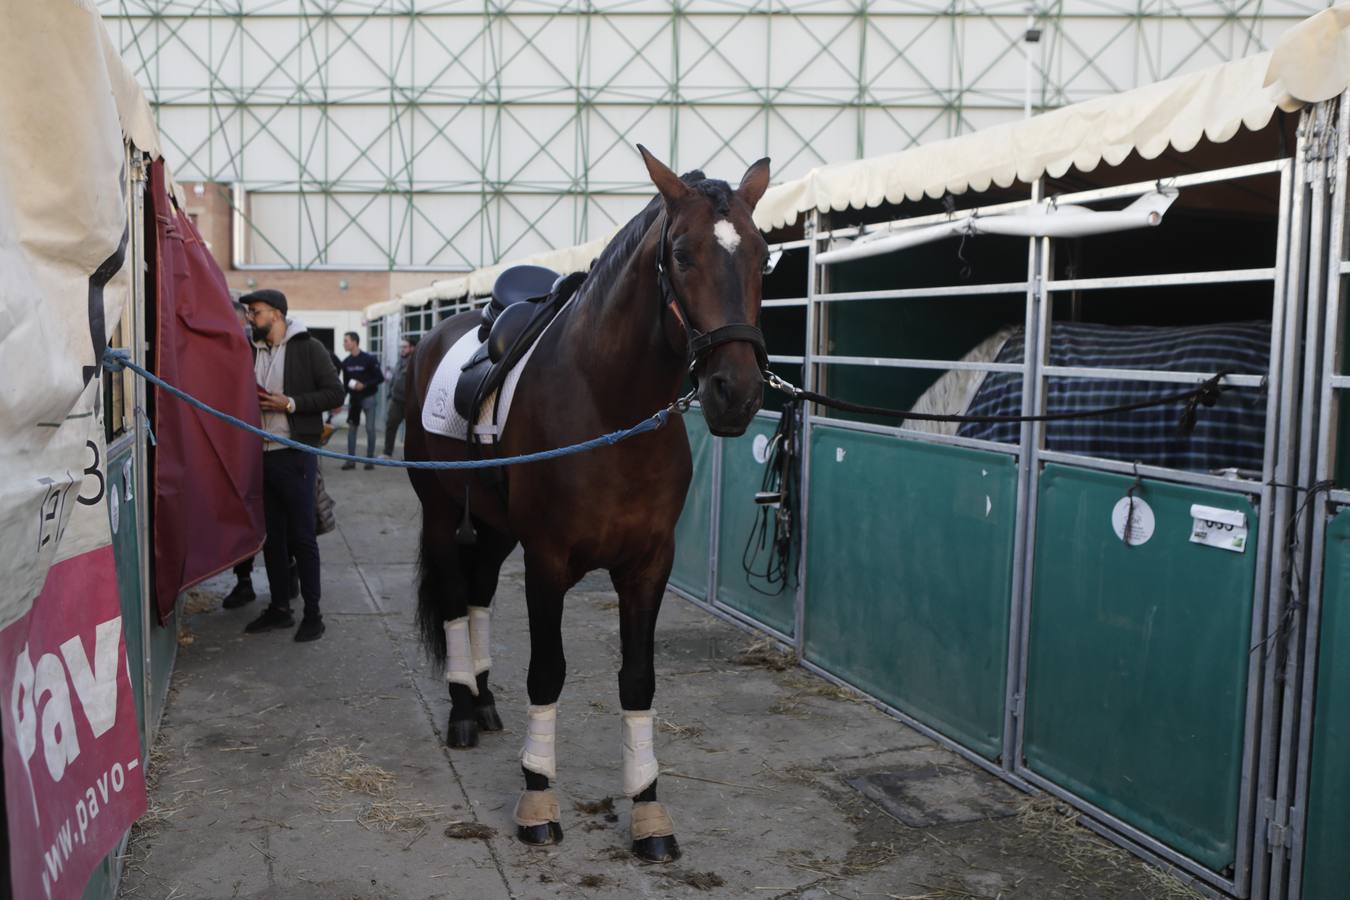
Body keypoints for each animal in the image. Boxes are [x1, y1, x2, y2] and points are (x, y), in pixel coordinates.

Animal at [402, 146, 772, 863]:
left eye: (764, 254)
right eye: (681, 254)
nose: (736, 393)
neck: (607, 403)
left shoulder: (648, 565)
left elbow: (639, 679)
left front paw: (649, 809)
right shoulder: (548, 561)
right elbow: (548, 672)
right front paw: (537, 797)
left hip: (495, 528)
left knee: (480, 593)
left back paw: (483, 701)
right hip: (440, 515)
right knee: (458, 600)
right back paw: (462, 710)